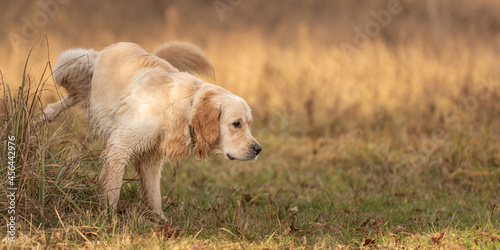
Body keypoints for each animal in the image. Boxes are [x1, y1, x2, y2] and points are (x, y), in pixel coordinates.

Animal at [44, 42, 262, 220]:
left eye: (249, 123)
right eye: (236, 124)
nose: (258, 149)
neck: (185, 107)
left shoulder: (152, 157)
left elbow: (154, 194)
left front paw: (160, 220)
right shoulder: (120, 146)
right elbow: (113, 189)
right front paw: (109, 218)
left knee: (76, 96)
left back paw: (46, 115)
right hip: (71, 62)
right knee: (73, 93)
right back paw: (47, 115)